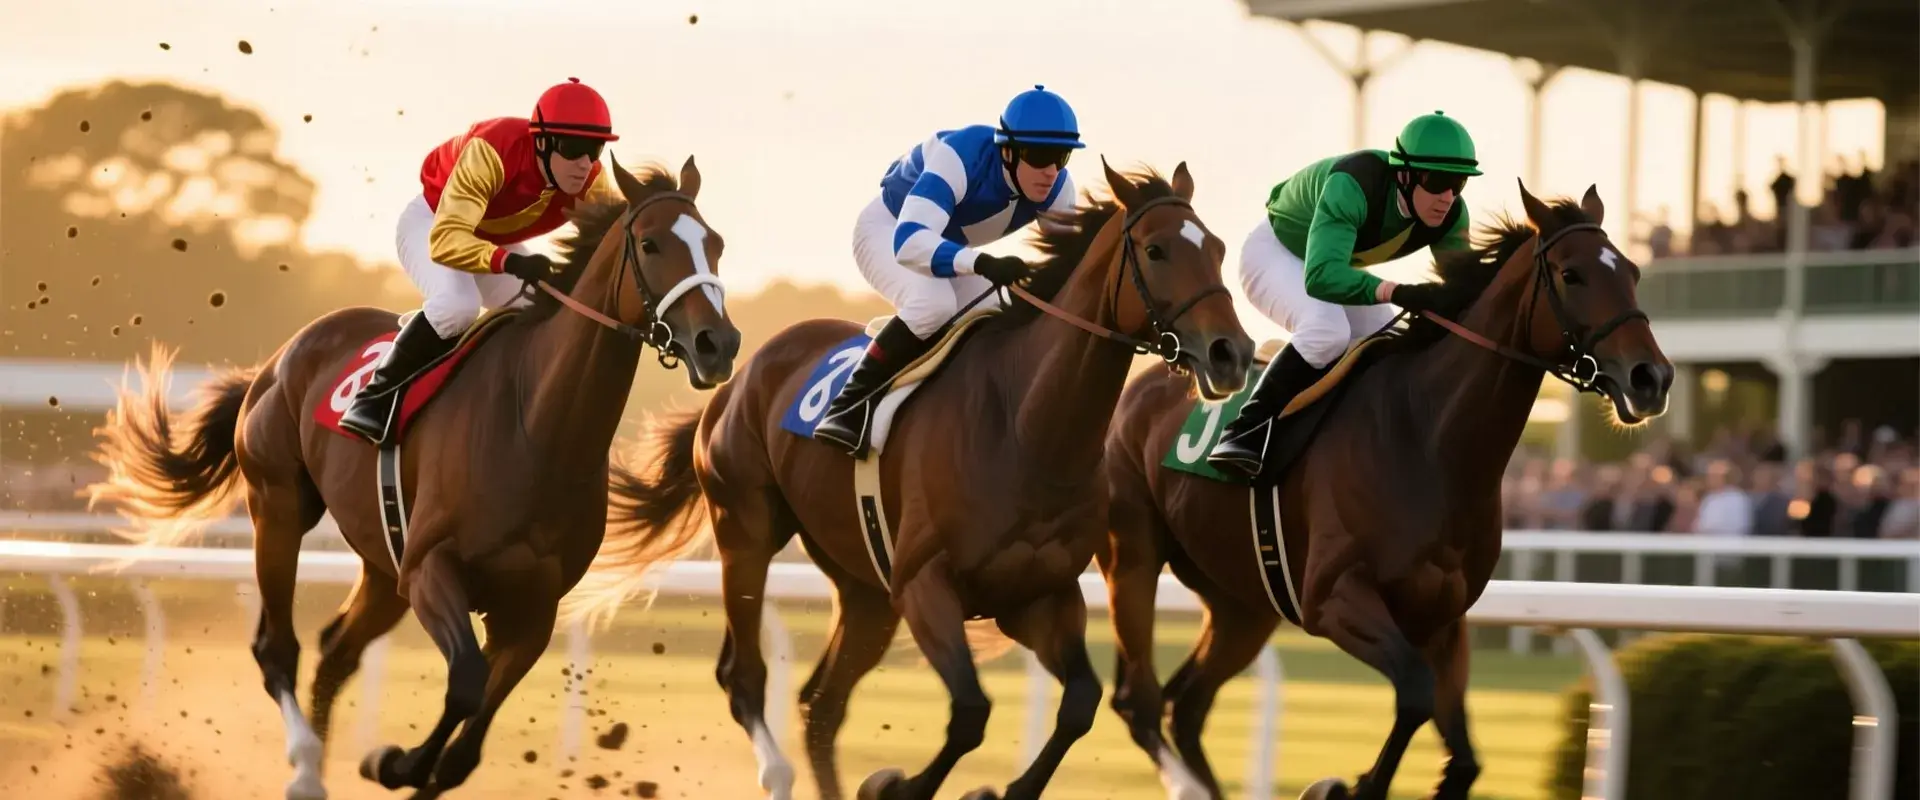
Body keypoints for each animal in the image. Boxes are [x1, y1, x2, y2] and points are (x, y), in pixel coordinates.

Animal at [81, 156, 740, 800]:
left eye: (717, 244)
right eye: (651, 244)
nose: (719, 343)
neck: (535, 425)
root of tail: (280, 359)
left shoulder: (532, 609)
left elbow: (461, 754)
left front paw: (407, 764)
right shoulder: (431, 570)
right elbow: (466, 683)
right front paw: (391, 762)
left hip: (381, 562)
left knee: (337, 651)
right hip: (279, 505)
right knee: (278, 648)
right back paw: (305, 769)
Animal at [560, 161, 1255, 800]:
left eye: (1218, 248)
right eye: (1157, 250)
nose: (1232, 353)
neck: (1027, 425)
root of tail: (745, 370)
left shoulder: (1039, 596)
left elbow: (1079, 704)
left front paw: (1000, 788)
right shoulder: (925, 585)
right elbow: (971, 712)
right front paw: (896, 786)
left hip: (865, 587)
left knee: (822, 702)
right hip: (746, 530)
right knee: (745, 677)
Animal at [1098, 182, 1673, 800]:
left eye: (1633, 270)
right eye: (1572, 274)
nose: (1651, 378)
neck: (1428, 441)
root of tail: (1140, 387)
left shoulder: (1442, 619)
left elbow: (1464, 759)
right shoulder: (1334, 599)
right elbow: (1415, 696)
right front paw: (1341, 787)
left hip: (1241, 601)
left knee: (1187, 704)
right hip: (1134, 558)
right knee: (1140, 699)